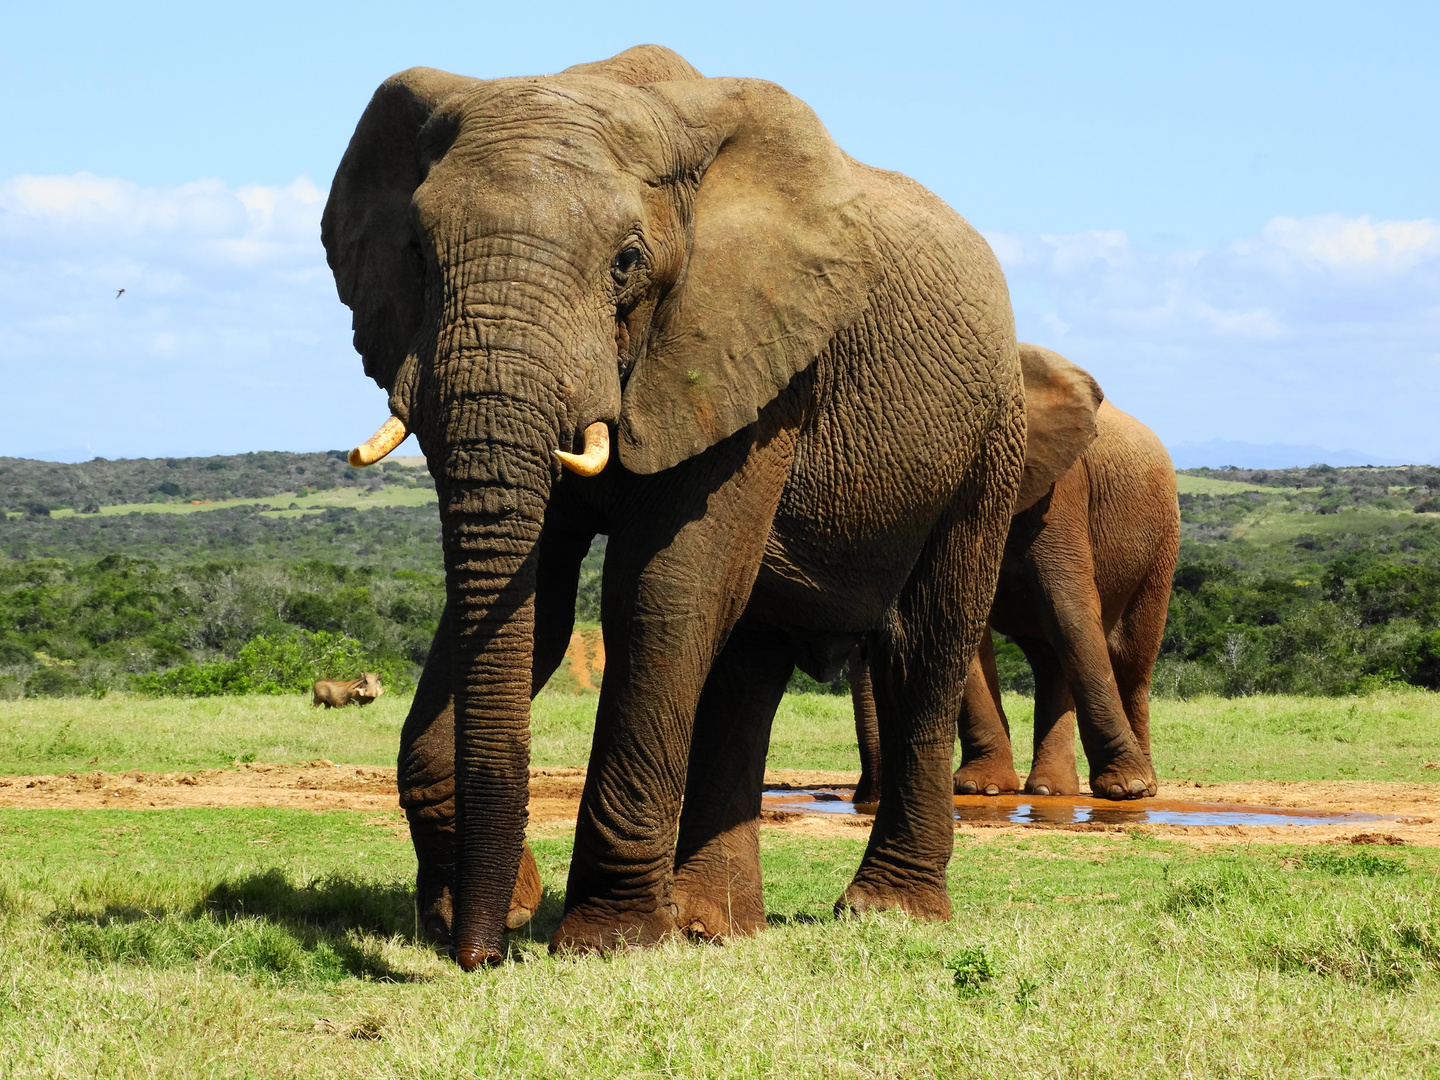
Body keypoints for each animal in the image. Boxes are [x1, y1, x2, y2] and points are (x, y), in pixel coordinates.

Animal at [324, 46, 1088, 967]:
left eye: (626, 262)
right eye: (417, 251)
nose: (481, 956)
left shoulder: (756, 367)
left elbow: (662, 594)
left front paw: (606, 943)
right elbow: (542, 599)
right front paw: (493, 913)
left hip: (988, 441)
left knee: (927, 644)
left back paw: (885, 913)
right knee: (745, 669)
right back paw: (712, 926)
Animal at [846, 347, 1175, 806]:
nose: (865, 799)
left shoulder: (1060, 488)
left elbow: (1070, 608)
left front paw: (1127, 788)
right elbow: (961, 612)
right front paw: (979, 788)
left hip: (1162, 542)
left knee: (1127, 656)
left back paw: (1139, 789)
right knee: (1051, 659)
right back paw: (1051, 790)